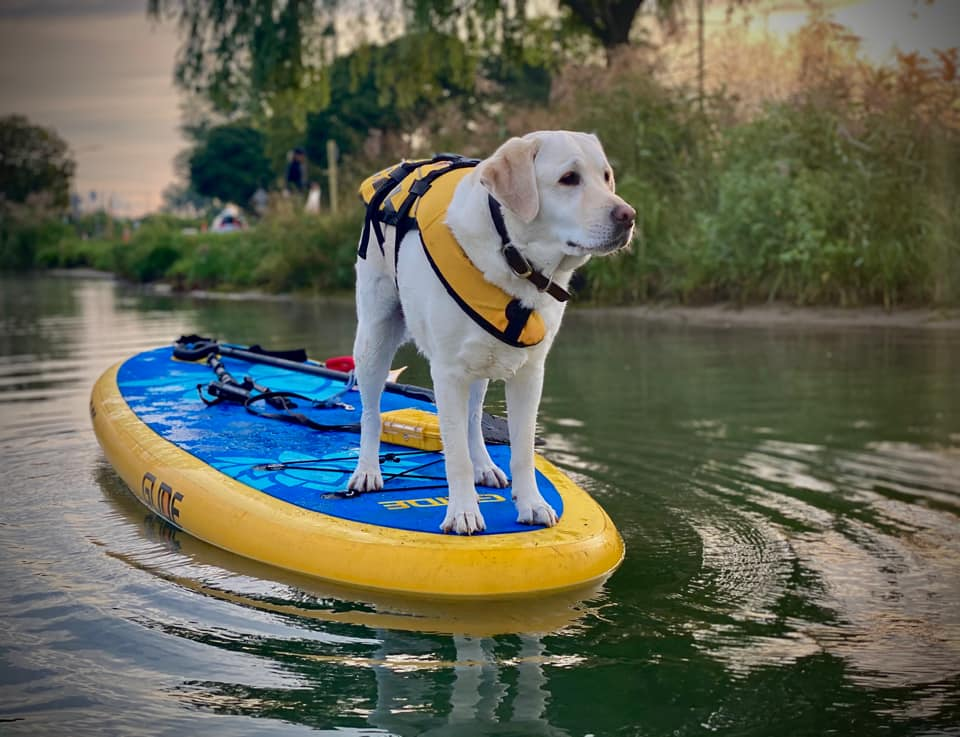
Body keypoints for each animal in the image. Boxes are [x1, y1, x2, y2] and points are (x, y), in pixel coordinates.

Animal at [348, 132, 632, 532]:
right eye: (568, 178)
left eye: (606, 177)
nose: (628, 216)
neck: (511, 256)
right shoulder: (447, 374)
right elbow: (456, 458)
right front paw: (463, 512)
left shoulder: (530, 374)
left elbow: (523, 450)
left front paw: (531, 504)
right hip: (374, 340)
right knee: (371, 413)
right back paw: (367, 471)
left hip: (482, 362)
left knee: (472, 421)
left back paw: (485, 465)